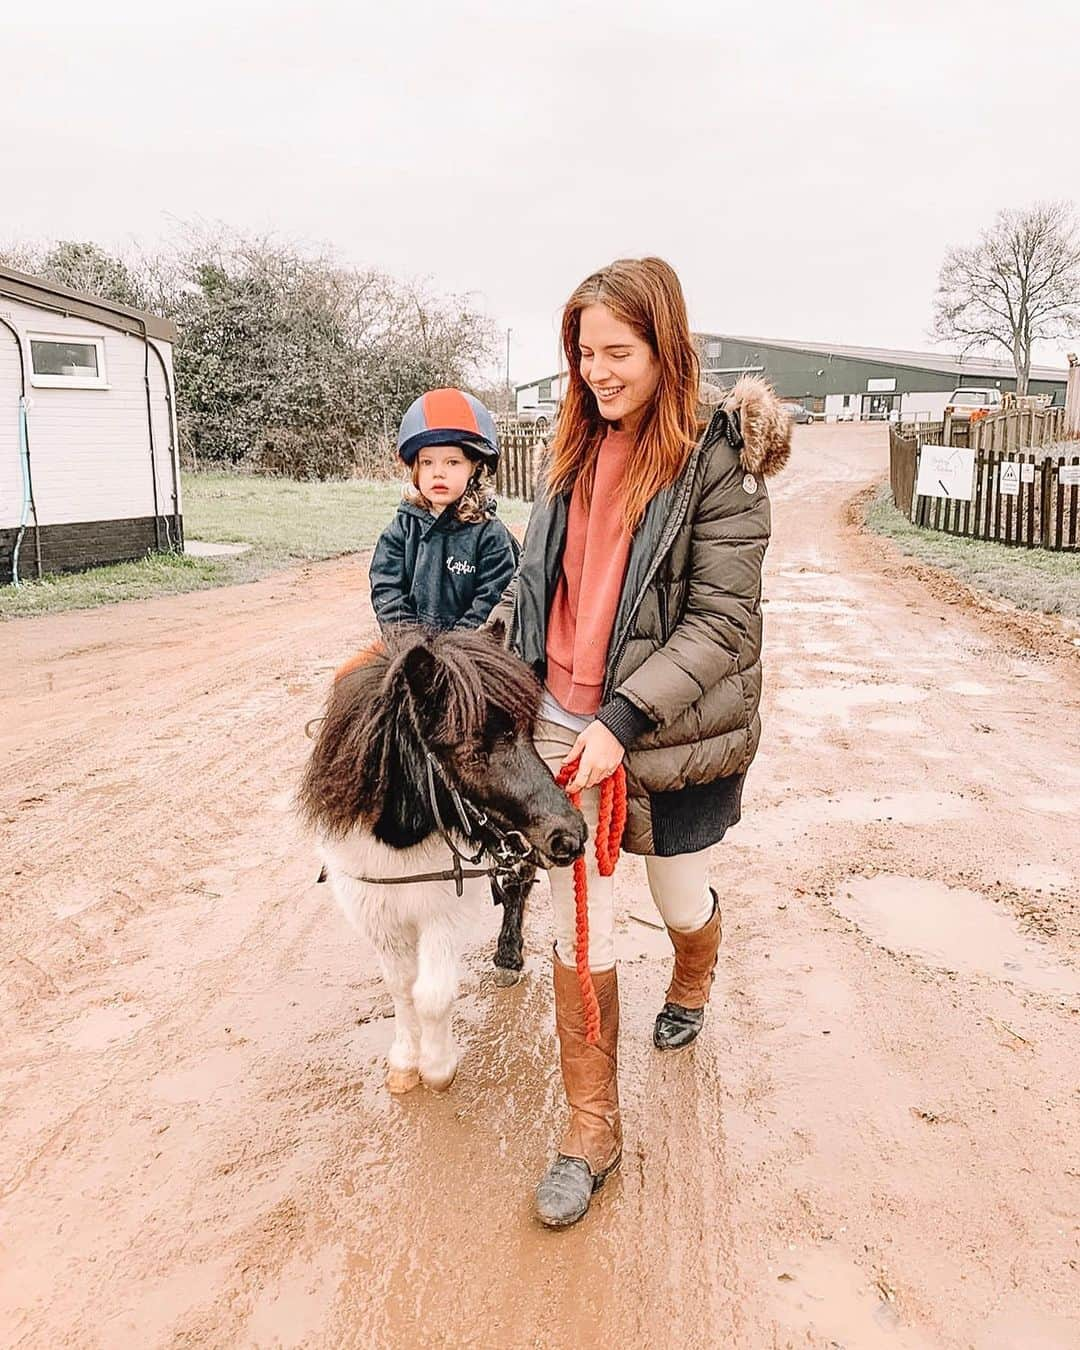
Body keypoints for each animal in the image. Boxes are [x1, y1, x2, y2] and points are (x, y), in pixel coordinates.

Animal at [297, 634, 583, 1096]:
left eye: (528, 733)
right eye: (471, 753)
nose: (570, 835)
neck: (400, 840)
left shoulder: (443, 912)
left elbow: (430, 993)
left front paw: (436, 1067)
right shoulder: (379, 914)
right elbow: (400, 987)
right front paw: (404, 1061)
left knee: (517, 886)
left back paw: (508, 957)